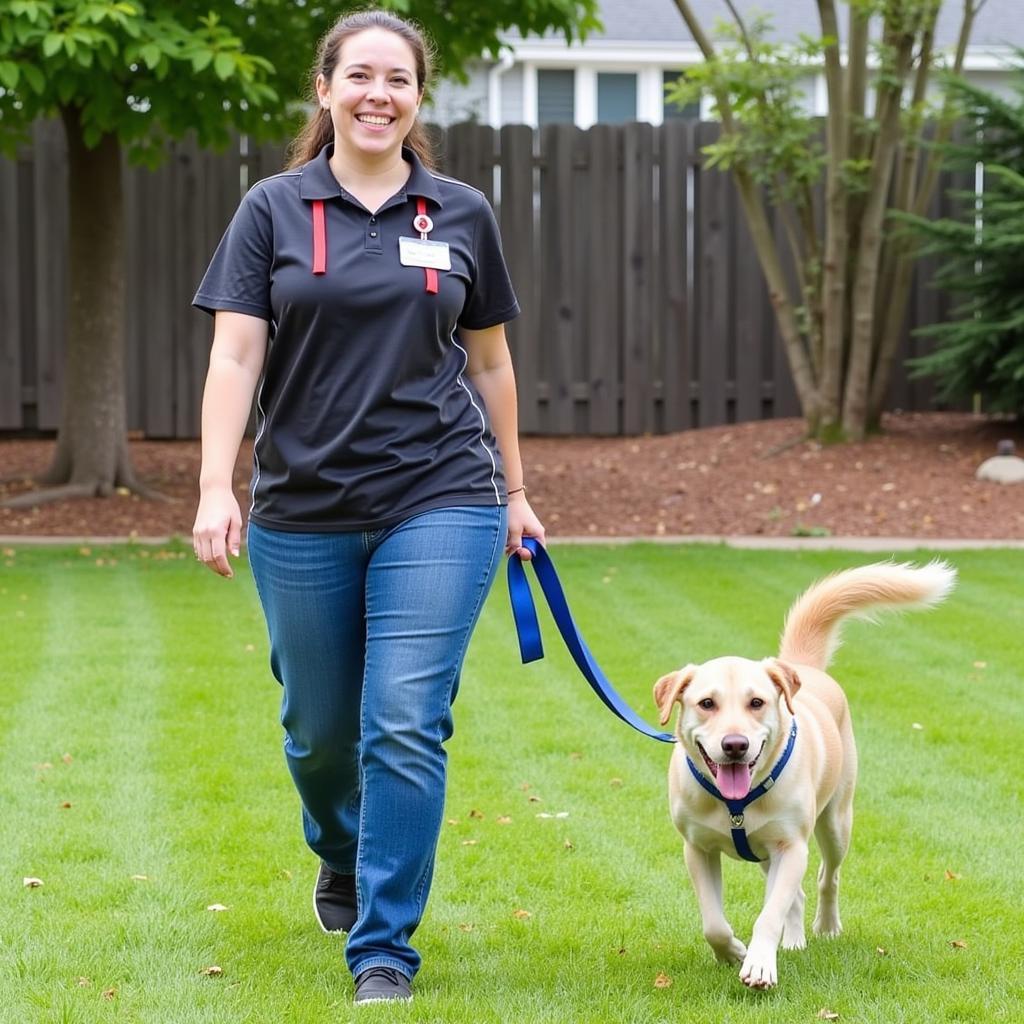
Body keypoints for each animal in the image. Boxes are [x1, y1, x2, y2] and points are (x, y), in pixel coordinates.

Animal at [651, 565, 954, 987]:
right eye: (706, 703)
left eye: (757, 702)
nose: (735, 745)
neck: (735, 804)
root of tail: (801, 667)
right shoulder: (697, 848)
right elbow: (713, 923)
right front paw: (733, 952)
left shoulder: (792, 846)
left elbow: (769, 914)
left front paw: (760, 962)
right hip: (766, 851)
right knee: (796, 895)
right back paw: (792, 940)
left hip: (835, 821)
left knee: (828, 877)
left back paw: (824, 926)